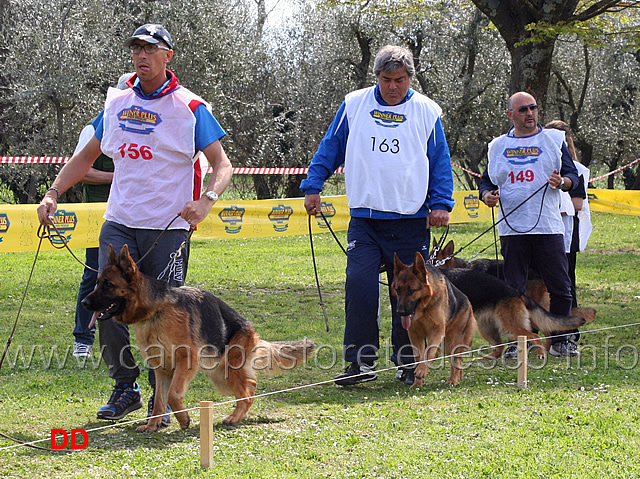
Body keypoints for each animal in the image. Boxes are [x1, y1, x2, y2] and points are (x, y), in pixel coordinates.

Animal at [82, 246, 316, 434]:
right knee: (250, 385)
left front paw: (183, 419)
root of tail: (251, 329)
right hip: (219, 375)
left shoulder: (185, 361)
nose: (84, 303)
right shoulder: (161, 369)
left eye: (108, 285)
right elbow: (159, 401)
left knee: (248, 391)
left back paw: (233, 418)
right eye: (98, 283)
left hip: (227, 371)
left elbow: (173, 395)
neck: (155, 311)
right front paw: (152, 425)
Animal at [390, 253, 476, 388]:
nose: (400, 312)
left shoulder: (436, 331)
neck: (424, 306)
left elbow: (428, 352)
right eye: (398, 289)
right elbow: (420, 356)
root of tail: (468, 302)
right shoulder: (415, 335)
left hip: (451, 342)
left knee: (455, 360)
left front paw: (421, 370)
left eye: (411, 290)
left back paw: (453, 380)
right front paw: (417, 383)